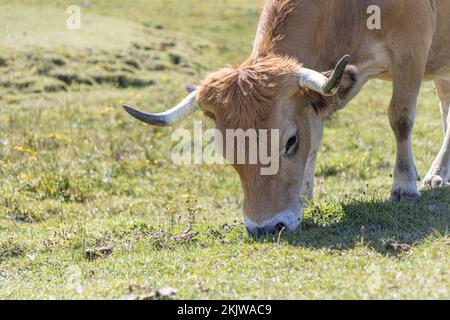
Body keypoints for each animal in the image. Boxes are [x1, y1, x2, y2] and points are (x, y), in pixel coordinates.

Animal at [124, 0, 450, 235]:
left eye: (290, 142)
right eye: (227, 151)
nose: (266, 227)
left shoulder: (410, 51)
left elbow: (400, 117)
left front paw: (404, 186)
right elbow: (315, 136)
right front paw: (304, 196)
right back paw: (439, 174)